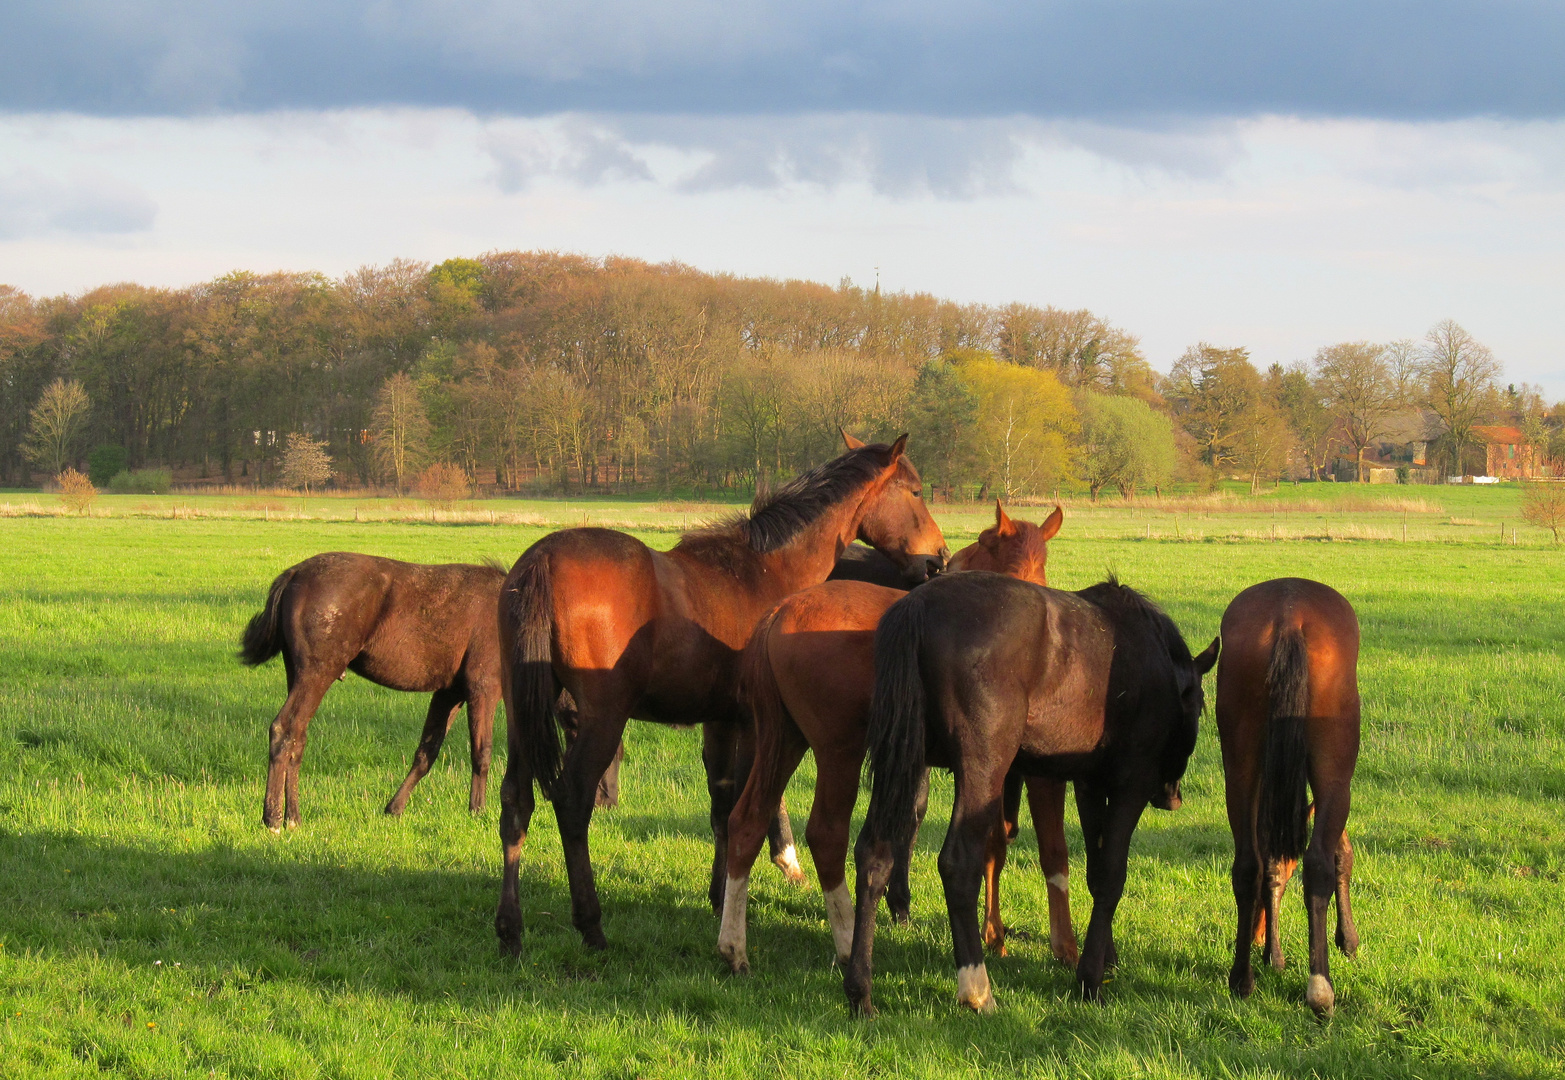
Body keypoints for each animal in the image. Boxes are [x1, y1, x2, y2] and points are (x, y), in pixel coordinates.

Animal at [494, 432, 945, 945]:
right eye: (915, 491)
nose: (938, 558)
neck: (765, 570)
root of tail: (542, 560)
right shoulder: (754, 723)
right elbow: (744, 807)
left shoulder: (720, 721)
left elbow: (721, 804)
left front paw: (716, 895)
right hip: (601, 719)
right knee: (572, 801)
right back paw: (590, 924)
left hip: (521, 711)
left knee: (515, 802)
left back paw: (510, 928)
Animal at [716, 500, 1070, 970]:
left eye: (978, 543)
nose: (944, 564)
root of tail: (779, 612)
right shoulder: (1018, 770)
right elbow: (1025, 845)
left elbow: (976, 835)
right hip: (837, 752)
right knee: (825, 834)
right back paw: (847, 942)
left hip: (781, 739)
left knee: (747, 820)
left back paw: (734, 943)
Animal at [845, 572, 1220, 1008]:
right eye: (1200, 704)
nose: (1171, 796)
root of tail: (915, 607)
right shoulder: (1132, 785)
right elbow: (1112, 875)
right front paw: (1090, 979)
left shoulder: (1090, 784)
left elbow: (1096, 872)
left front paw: (1103, 957)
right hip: (983, 767)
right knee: (958, 862)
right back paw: (976, 988)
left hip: (902, 760)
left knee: (874, 854)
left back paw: (860, 990)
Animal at [1214, 576, 1364, 1014]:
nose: (1261, 936)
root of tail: (1289, 615)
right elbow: (1340, 855)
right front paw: (1347, 940)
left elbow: (1269, 865)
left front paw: (1272, 956)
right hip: (1334, 771)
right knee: (1318, 864)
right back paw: (1320, 988)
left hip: (1240, 766)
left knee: (1247, 865)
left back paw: (1241, 979)